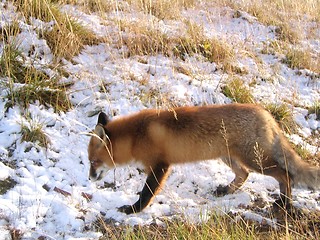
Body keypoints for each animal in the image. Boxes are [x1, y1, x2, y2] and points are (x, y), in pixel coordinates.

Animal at [88, 103, 320, 214]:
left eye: (93, 162)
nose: (90, 178)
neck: (137, 136)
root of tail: (266, 114)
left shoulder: (160, 166)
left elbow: (147, 194)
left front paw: (133, 210)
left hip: (256, 160)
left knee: (286, 174)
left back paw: (284, 203)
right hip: (229, 158)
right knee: (244, 175)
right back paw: (226, 191)